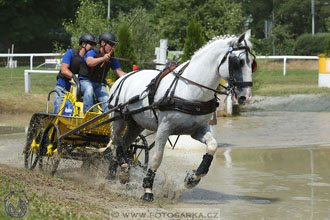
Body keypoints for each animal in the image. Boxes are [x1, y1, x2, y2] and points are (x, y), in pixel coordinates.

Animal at [107, 30, 254, 202]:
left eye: (252, 63)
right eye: (238, 62)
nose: (246, 97)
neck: (190, 90)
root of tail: (124, 77)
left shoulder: (198, 129)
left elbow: (212, 146)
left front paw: (192, 178)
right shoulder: (164, 128)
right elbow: (157, 158)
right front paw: (148, 189)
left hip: (136, 124)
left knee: (124, 144)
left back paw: (119, 174)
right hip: (118, 118)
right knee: (116, 142)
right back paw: (117, 171)